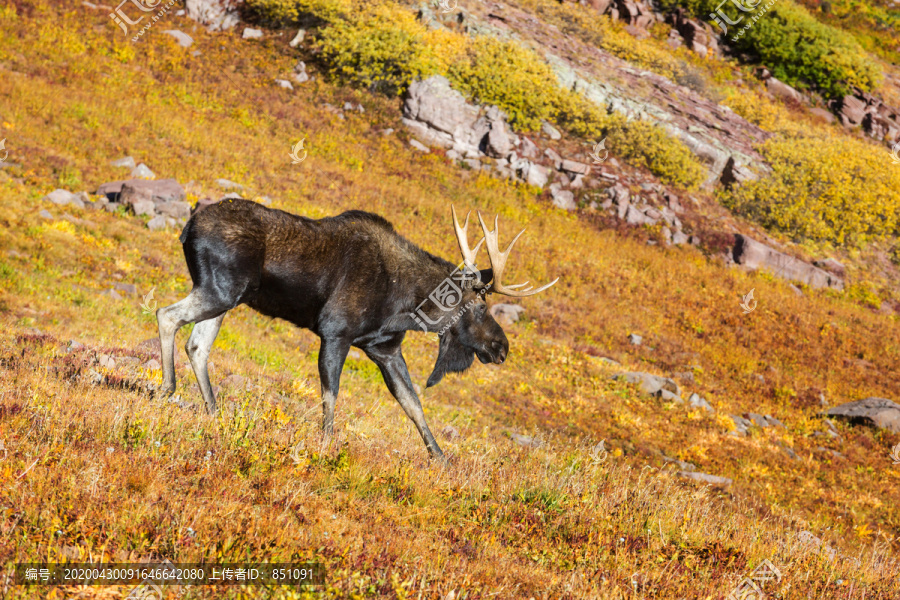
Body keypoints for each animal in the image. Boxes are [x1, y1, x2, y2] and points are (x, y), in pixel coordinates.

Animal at [158, 202, 560, 460]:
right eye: (479, 307)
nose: (502, 347)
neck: (408, 305)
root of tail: (189, 225)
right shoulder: (336, 332)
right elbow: (331, 395)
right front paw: (325, 444)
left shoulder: (385, 348)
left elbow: (413, 404)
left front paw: (441, 458)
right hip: (221, 290)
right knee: (167, 315)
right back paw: (166, 389)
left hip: (228, 297)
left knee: (197, 346)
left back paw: (213, 411)